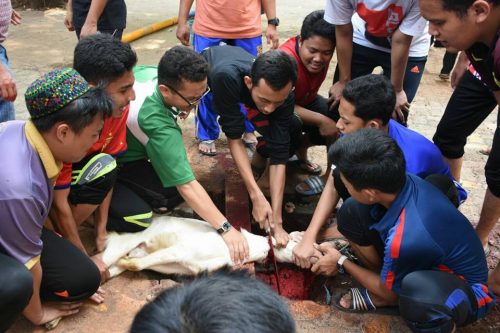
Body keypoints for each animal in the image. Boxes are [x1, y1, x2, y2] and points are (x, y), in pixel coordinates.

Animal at [101, 214, 300, 276]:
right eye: (295, 240)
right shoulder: (182, 250)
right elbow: (135, 265)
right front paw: (127, 261)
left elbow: (134, 263)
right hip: (120, 245)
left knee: (109, 271)